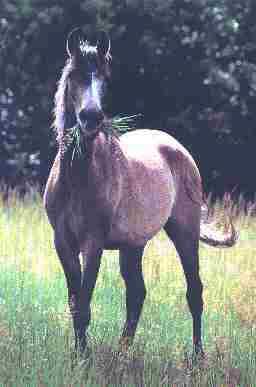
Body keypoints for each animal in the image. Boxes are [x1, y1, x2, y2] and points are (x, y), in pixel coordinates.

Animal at [44, 28, 238, 358]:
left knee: (194, 291)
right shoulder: (63, 243)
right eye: (76, 75)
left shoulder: (93, 243)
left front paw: (83, 360)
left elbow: (84, 304)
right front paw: (78, 355)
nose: (91, 118)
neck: (77, 178)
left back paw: (197, 357)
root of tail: (178, 149)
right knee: (136, 294)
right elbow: (75, 303)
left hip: (184, 232)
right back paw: (123, 353)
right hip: (133, 245)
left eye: (105, 78)